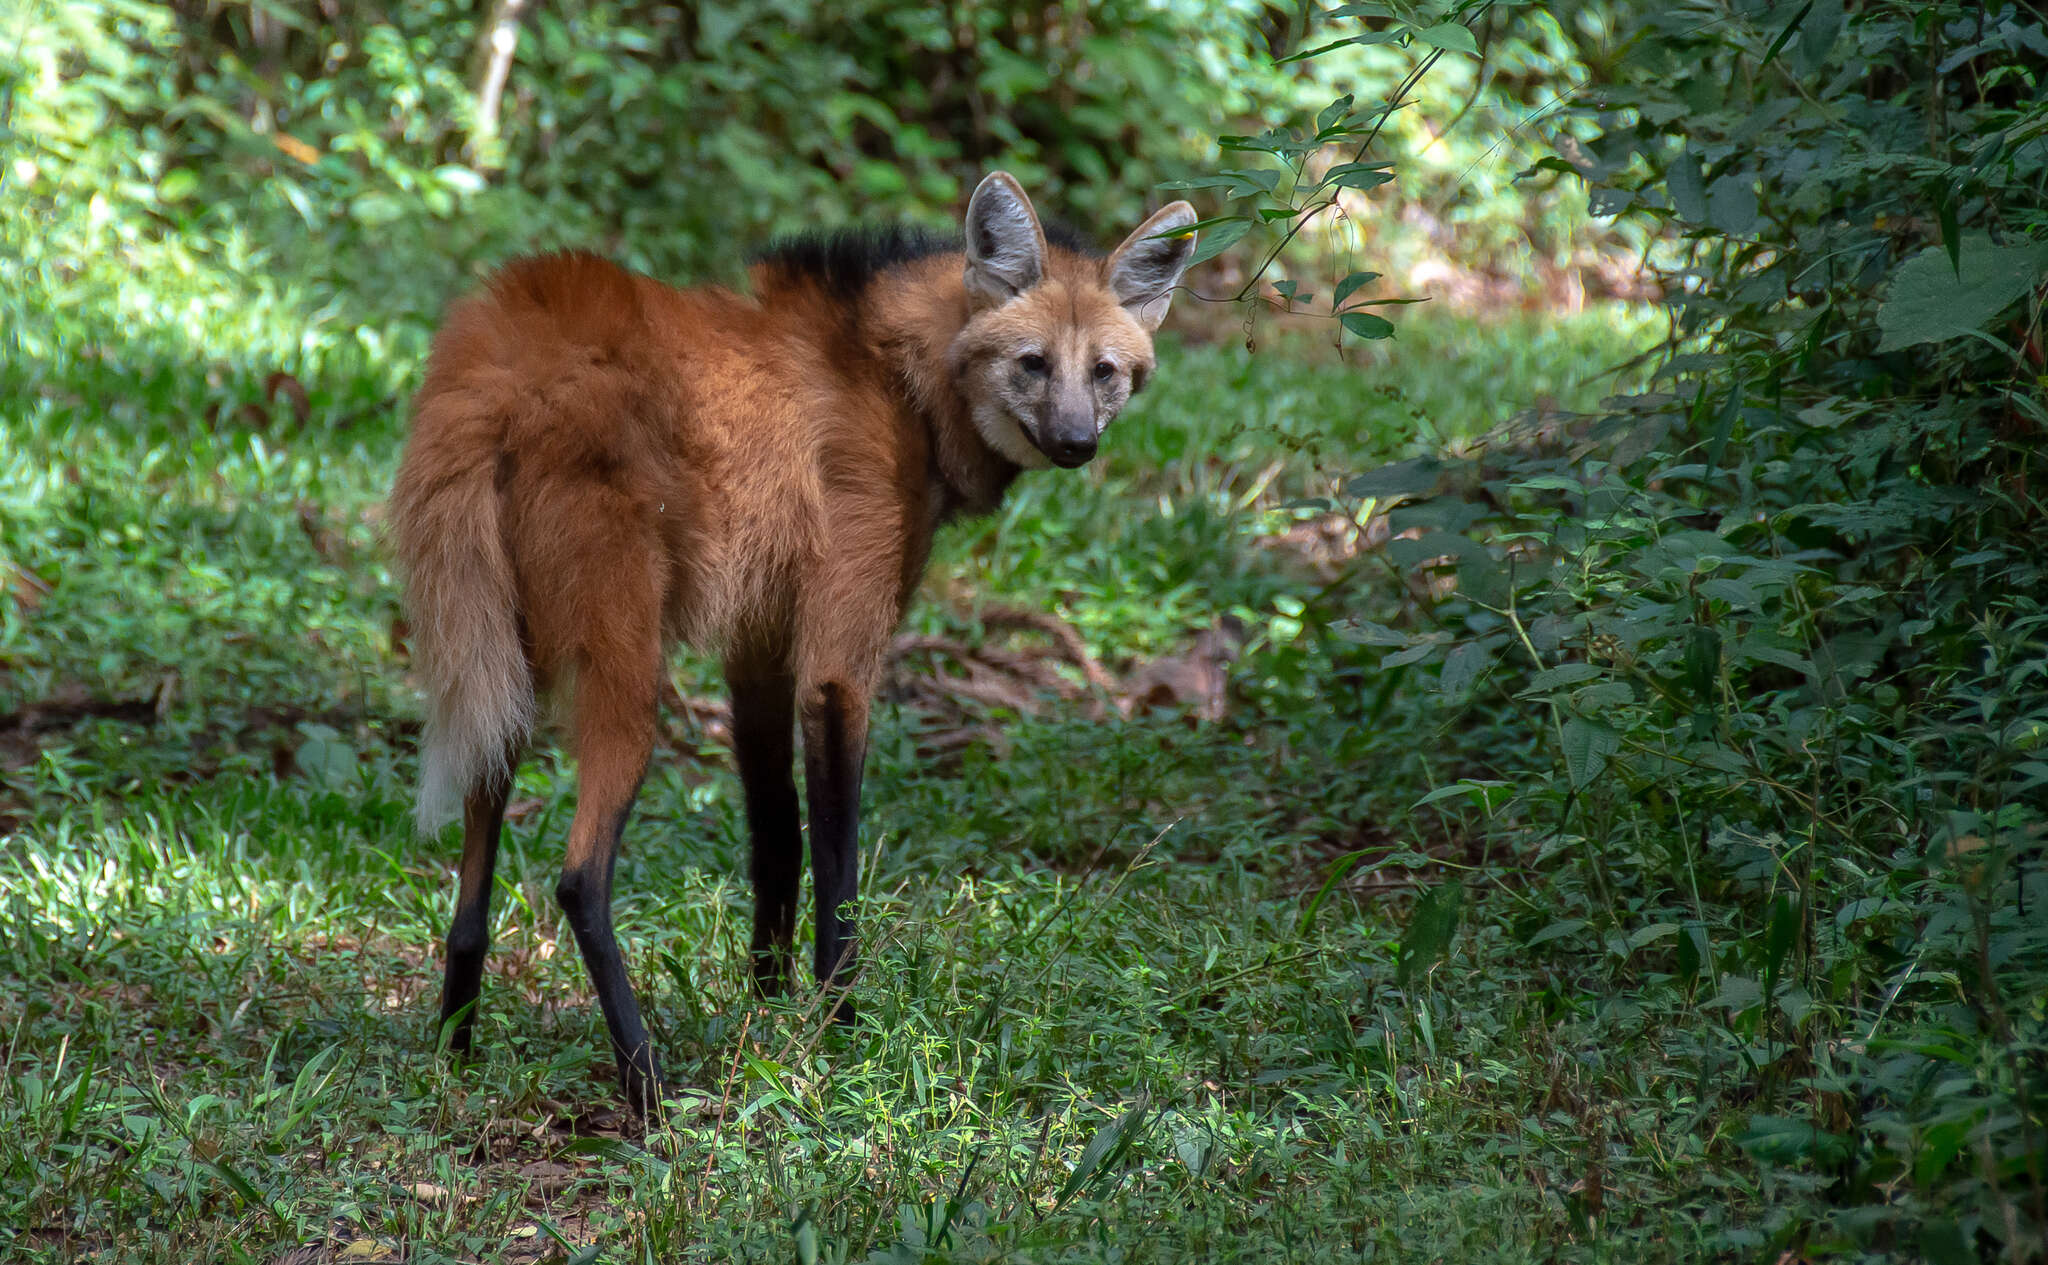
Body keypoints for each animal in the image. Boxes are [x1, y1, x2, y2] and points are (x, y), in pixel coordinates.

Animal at [389, 169, 1196, 1105]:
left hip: (498, 656)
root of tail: (492, 357)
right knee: (580, 877)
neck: (902, 381)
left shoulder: (760, 649)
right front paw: (842, 1035)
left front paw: (764, 1010)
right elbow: (837, 870)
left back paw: (454, 1048)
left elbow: (776, 837)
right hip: (625, 666)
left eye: (1104, 372)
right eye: (1031, 363)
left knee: (474, 873)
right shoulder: (837, 664)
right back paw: (649, 1084)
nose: (1076, 442)